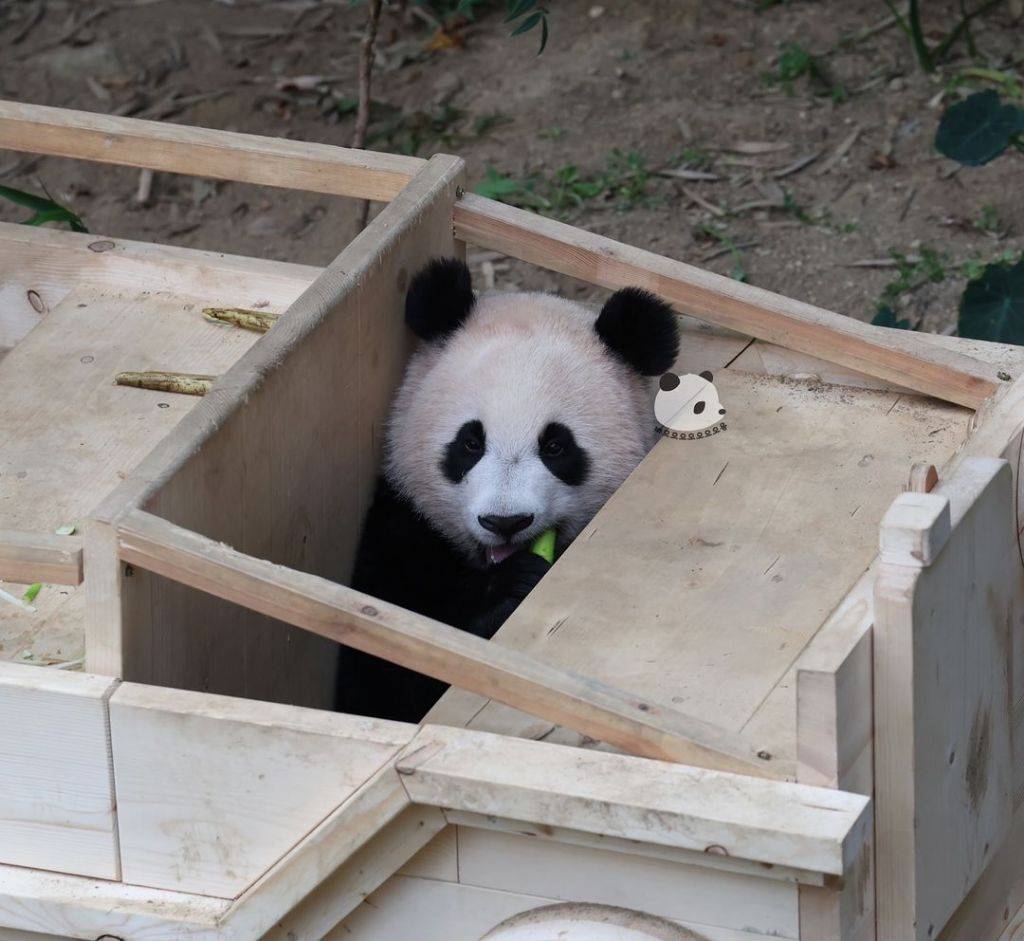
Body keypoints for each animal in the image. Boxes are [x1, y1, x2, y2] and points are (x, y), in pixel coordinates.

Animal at [335, 258, 684, 720]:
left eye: (555, 446)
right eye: (470, 442)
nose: (505, 522)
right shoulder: (400, 530)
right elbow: (381, 680)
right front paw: (512, 587)